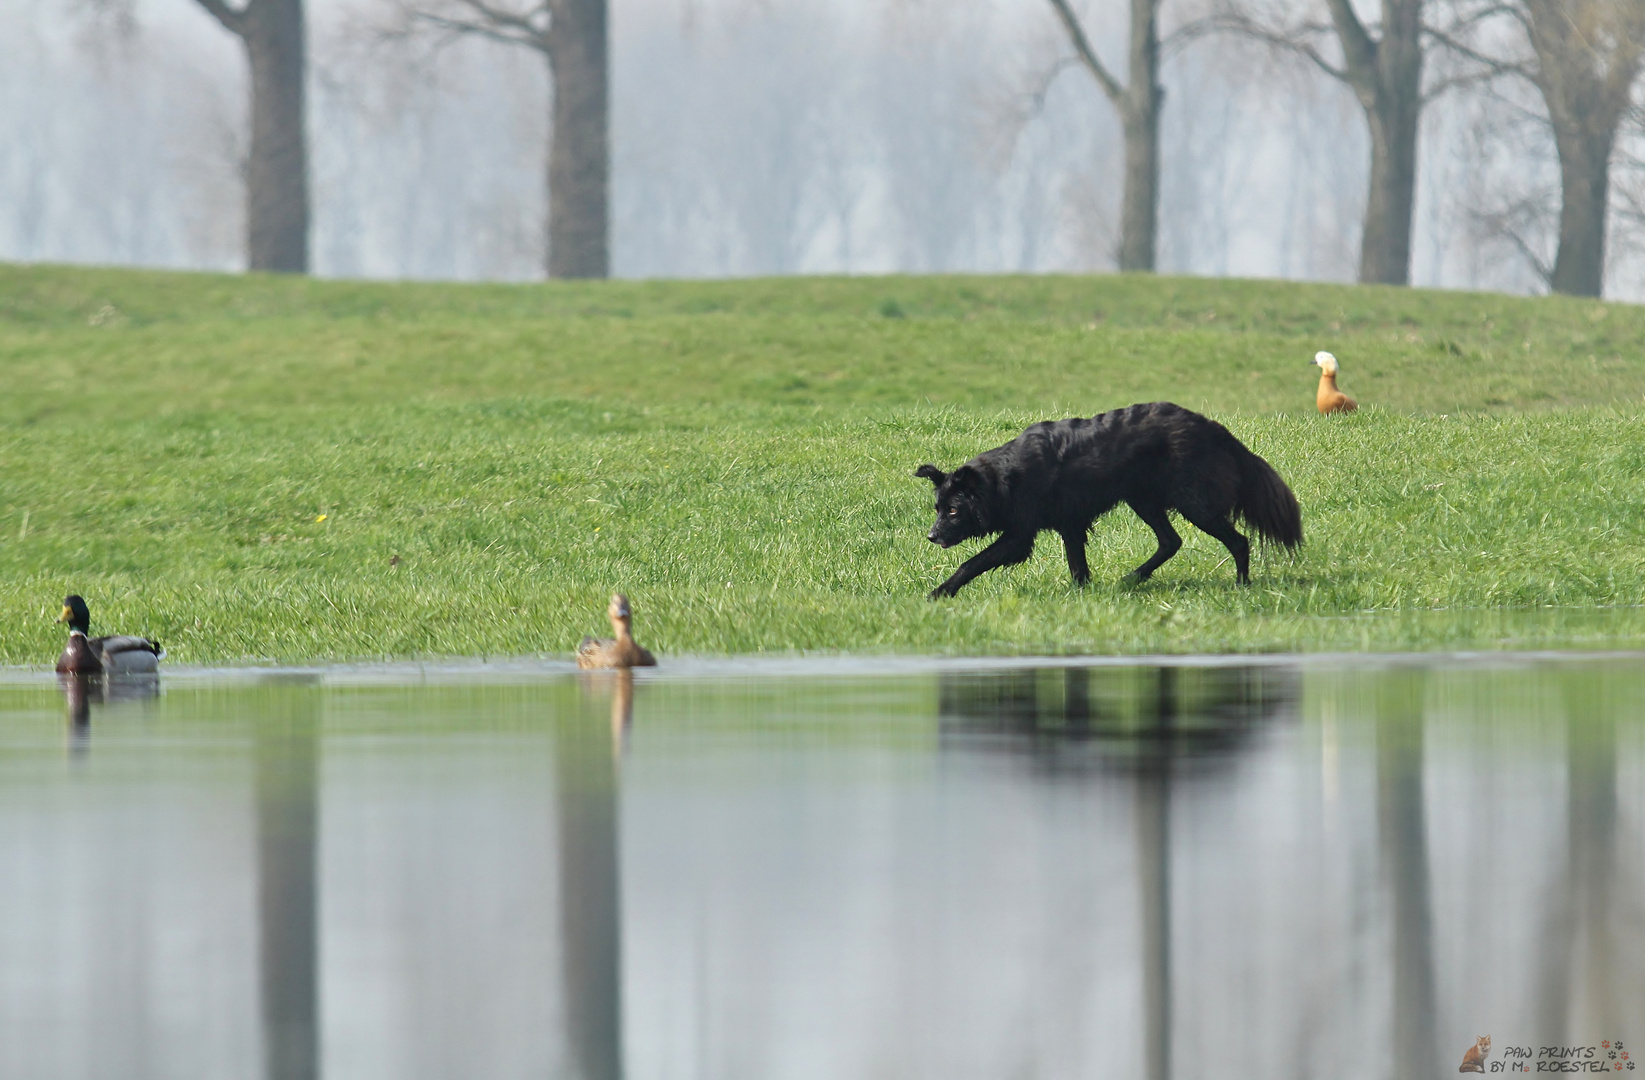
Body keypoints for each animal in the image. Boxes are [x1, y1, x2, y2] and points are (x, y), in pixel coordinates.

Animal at [921, 399, 1302, 598]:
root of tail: (1215, 429)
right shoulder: (1070, 525)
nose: (931, 536)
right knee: (1171, 541)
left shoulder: (1019, 536)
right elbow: (1077, 565)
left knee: (1238, 541)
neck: (1003, 478)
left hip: (1196, 504)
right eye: (938, 508)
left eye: (953, 510)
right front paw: (1082, 595)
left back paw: (1242, 585)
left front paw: (940, 593)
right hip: (1144, 499)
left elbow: (972, 563)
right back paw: (1133, 578)